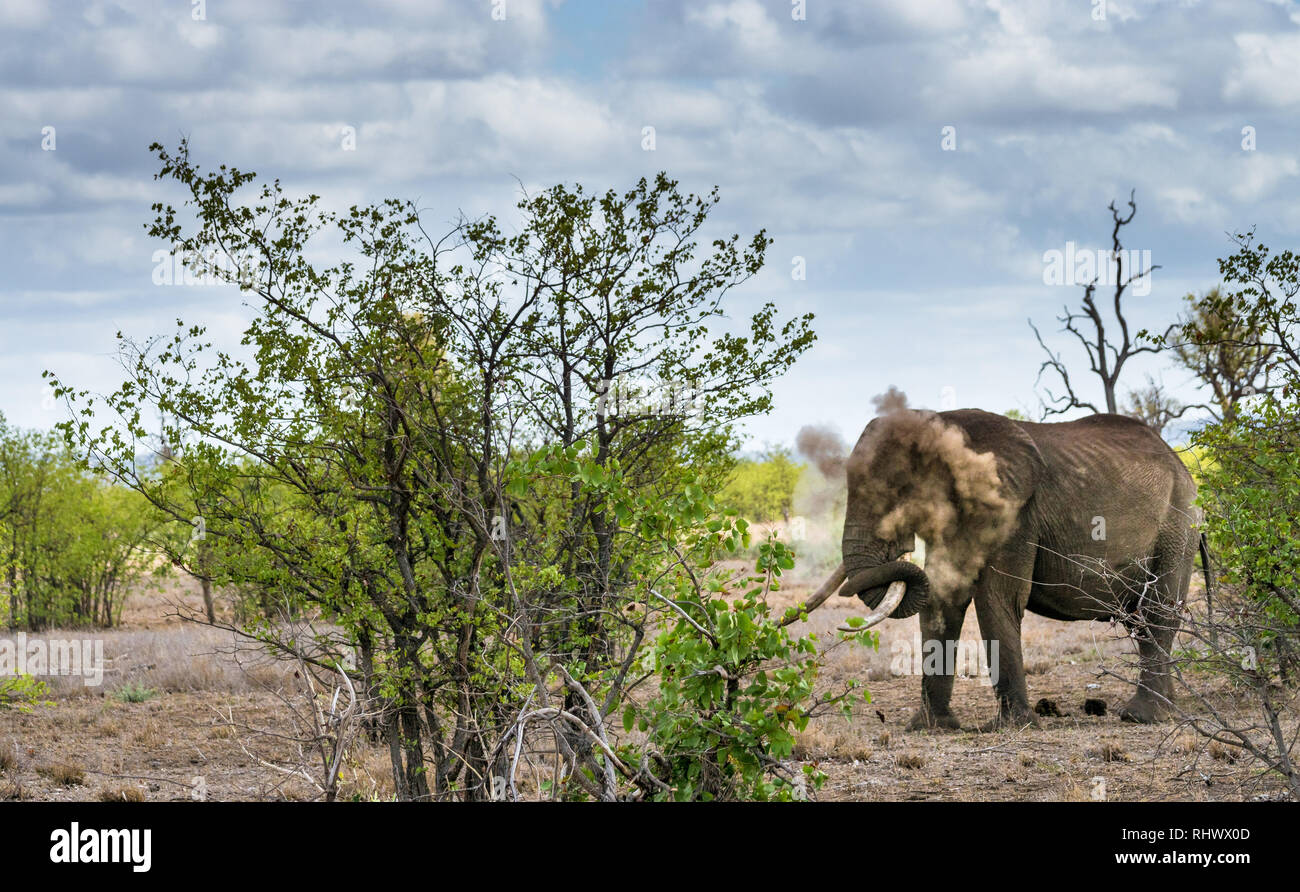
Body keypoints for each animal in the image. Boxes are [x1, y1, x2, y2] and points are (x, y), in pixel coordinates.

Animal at [811, 410, 1196, 733]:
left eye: (897, 492)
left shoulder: (1015, 515)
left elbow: (997, 598)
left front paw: (1013, 727)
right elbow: (942, 597)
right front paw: (931, 727)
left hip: (1178, 526)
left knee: (1158, 611)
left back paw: (1141, 716)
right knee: (1143, 621)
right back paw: (1169, 710)